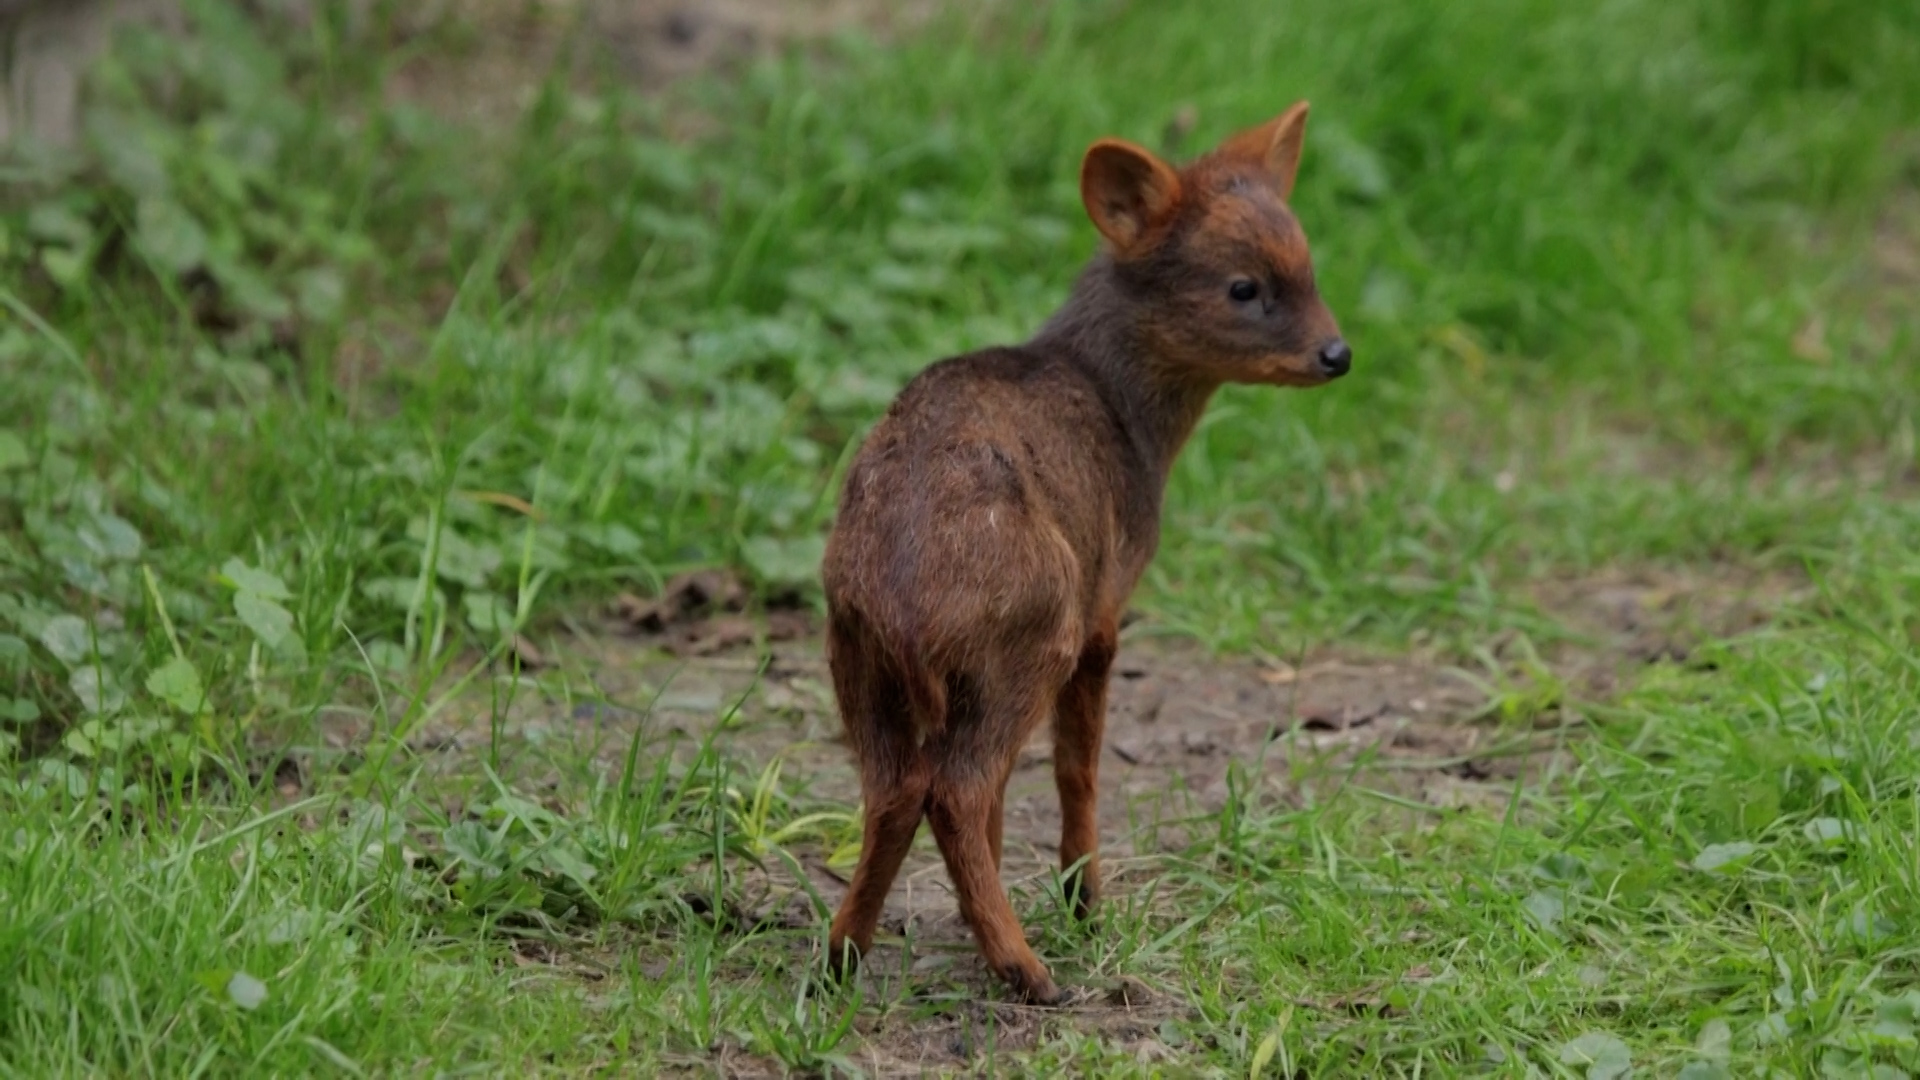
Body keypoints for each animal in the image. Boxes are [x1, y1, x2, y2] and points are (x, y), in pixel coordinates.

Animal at [817, 100, 1344, 999]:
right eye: (1244, 287)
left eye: (1308, 267)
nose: (1337, 354)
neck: (1127, 419)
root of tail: (904, 602)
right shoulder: (1106, 606)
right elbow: (1079, 768)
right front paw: (1084, 901)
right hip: (1034, 633)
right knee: (956, 788)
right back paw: (1026, 967)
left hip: (857, 657)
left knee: (897, 790)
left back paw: (844, 954)